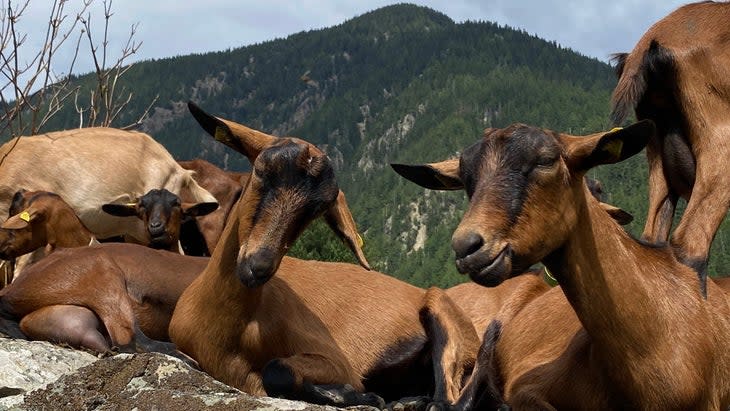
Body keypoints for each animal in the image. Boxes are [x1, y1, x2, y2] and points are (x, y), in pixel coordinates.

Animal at [168, 103, 480, 408]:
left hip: (443, 314)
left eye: (316, 209)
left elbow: (277, 371)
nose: (258, 266)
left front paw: (356, 395)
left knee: (447, 397)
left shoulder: (337, 361)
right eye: (259, 171)